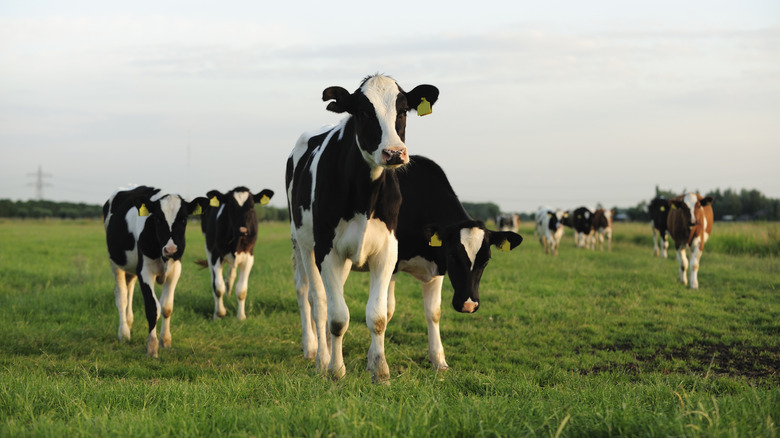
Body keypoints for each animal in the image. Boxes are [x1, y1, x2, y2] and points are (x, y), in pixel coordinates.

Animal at [103, 183, 207, 358]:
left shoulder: (175, 269)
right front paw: (151, 347)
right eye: (158, 219)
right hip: (115, 263)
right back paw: (124, 332)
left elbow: (166, 307)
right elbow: (153, 308)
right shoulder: (145, 271)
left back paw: (129, 322)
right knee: (121, 295)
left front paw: (165, 341)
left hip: (132, 268)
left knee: (130, 289)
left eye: (184, 219)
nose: (171, 249)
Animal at [198, 186, 274, 320]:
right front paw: (220, 313)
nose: (243, 230)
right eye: (230, 207)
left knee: (230, 276)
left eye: (251, 206)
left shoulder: (249, 257)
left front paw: (241, 316)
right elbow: (218, 287)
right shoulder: (216, 254)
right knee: (214, 281)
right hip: (208, 249)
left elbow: (241, 289)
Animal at [288, 73, 444, 382]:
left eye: (403, 110)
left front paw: (380, 369)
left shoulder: (387, 251)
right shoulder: (327, 250)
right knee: (314, 299)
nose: (394, 152)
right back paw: (318, 355)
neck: (365, 196)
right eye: (362, 112)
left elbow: (378, 316)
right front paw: (336, 370)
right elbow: (338, 317)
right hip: (302, 244)